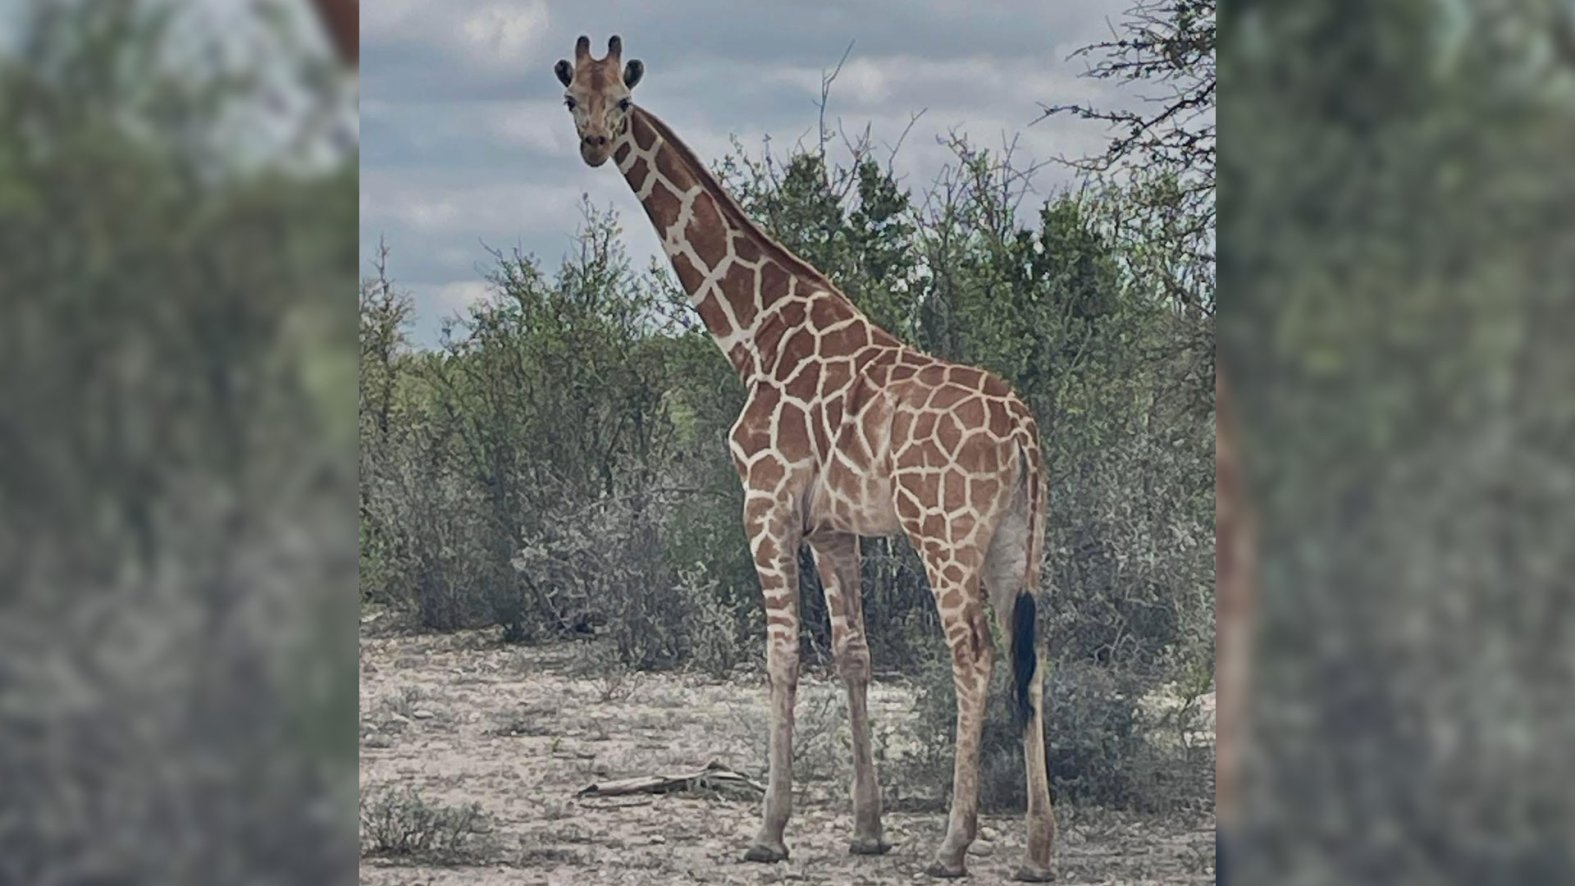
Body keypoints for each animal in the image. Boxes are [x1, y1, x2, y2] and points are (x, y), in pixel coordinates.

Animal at [554, 36, 1057, 880]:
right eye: (571, 99)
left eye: (621, 99)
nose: (592, 144)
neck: (753, 334)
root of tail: (1022, 431)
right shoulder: (832, 527)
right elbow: (853, 654)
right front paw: (867, 829)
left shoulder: (765, 503)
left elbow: (782, 654)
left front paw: (768, 832)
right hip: (1018, 541)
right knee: (1031, 656)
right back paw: (1035, 851)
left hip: (946, 534)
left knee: (973, 655)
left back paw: (953, 845)